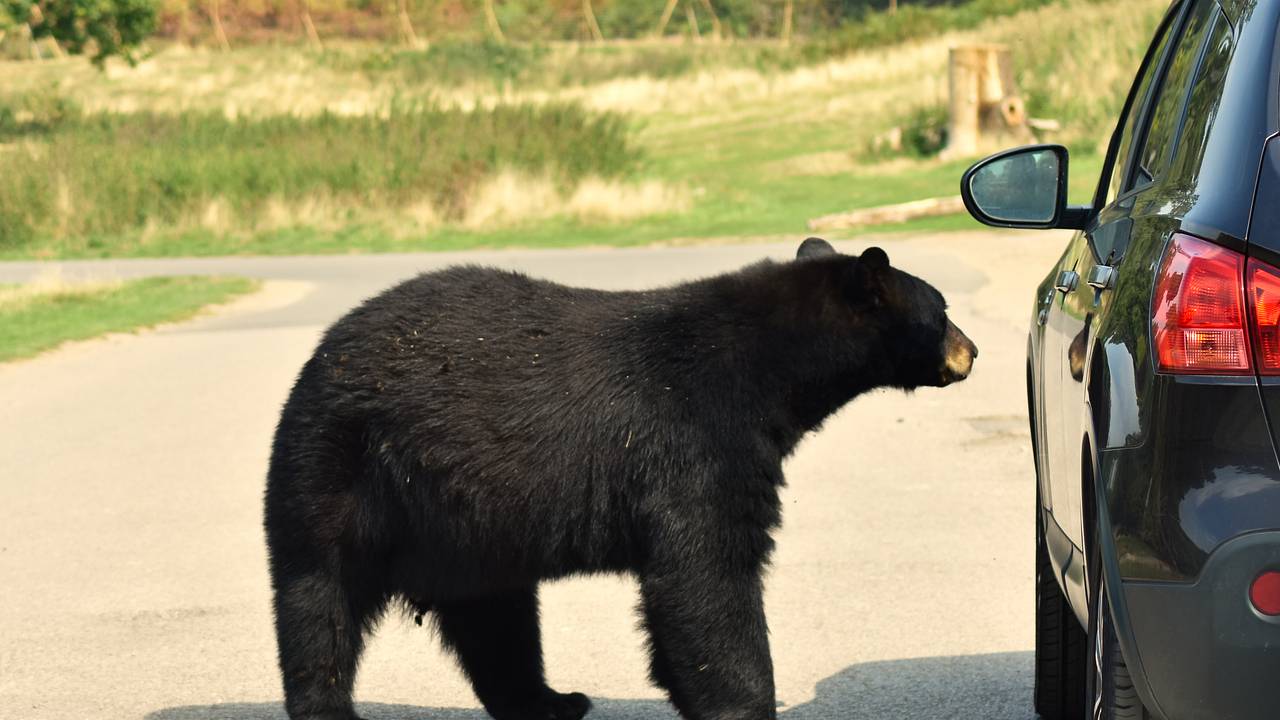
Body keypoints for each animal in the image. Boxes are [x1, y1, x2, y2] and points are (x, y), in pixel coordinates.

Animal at [264, 239, 972, 717]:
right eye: (942, 309)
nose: (971, 351)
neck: (767, 371)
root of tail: (324, 352)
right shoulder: (695, 441)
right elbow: (707, 573)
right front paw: (747, 703)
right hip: (338, 468)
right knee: (319, 596)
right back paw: (328, 704)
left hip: (469, 524)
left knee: (494, 616)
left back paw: (552, 701)